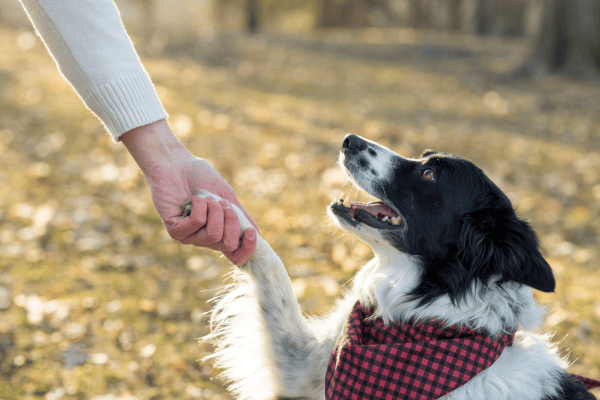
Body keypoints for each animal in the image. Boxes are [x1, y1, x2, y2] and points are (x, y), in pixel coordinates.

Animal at [186, 134, 596, 400]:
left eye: (429, 174)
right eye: (423, 157)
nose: (349, 139)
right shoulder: (301, 368)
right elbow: (273, 272)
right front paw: (216, 208)